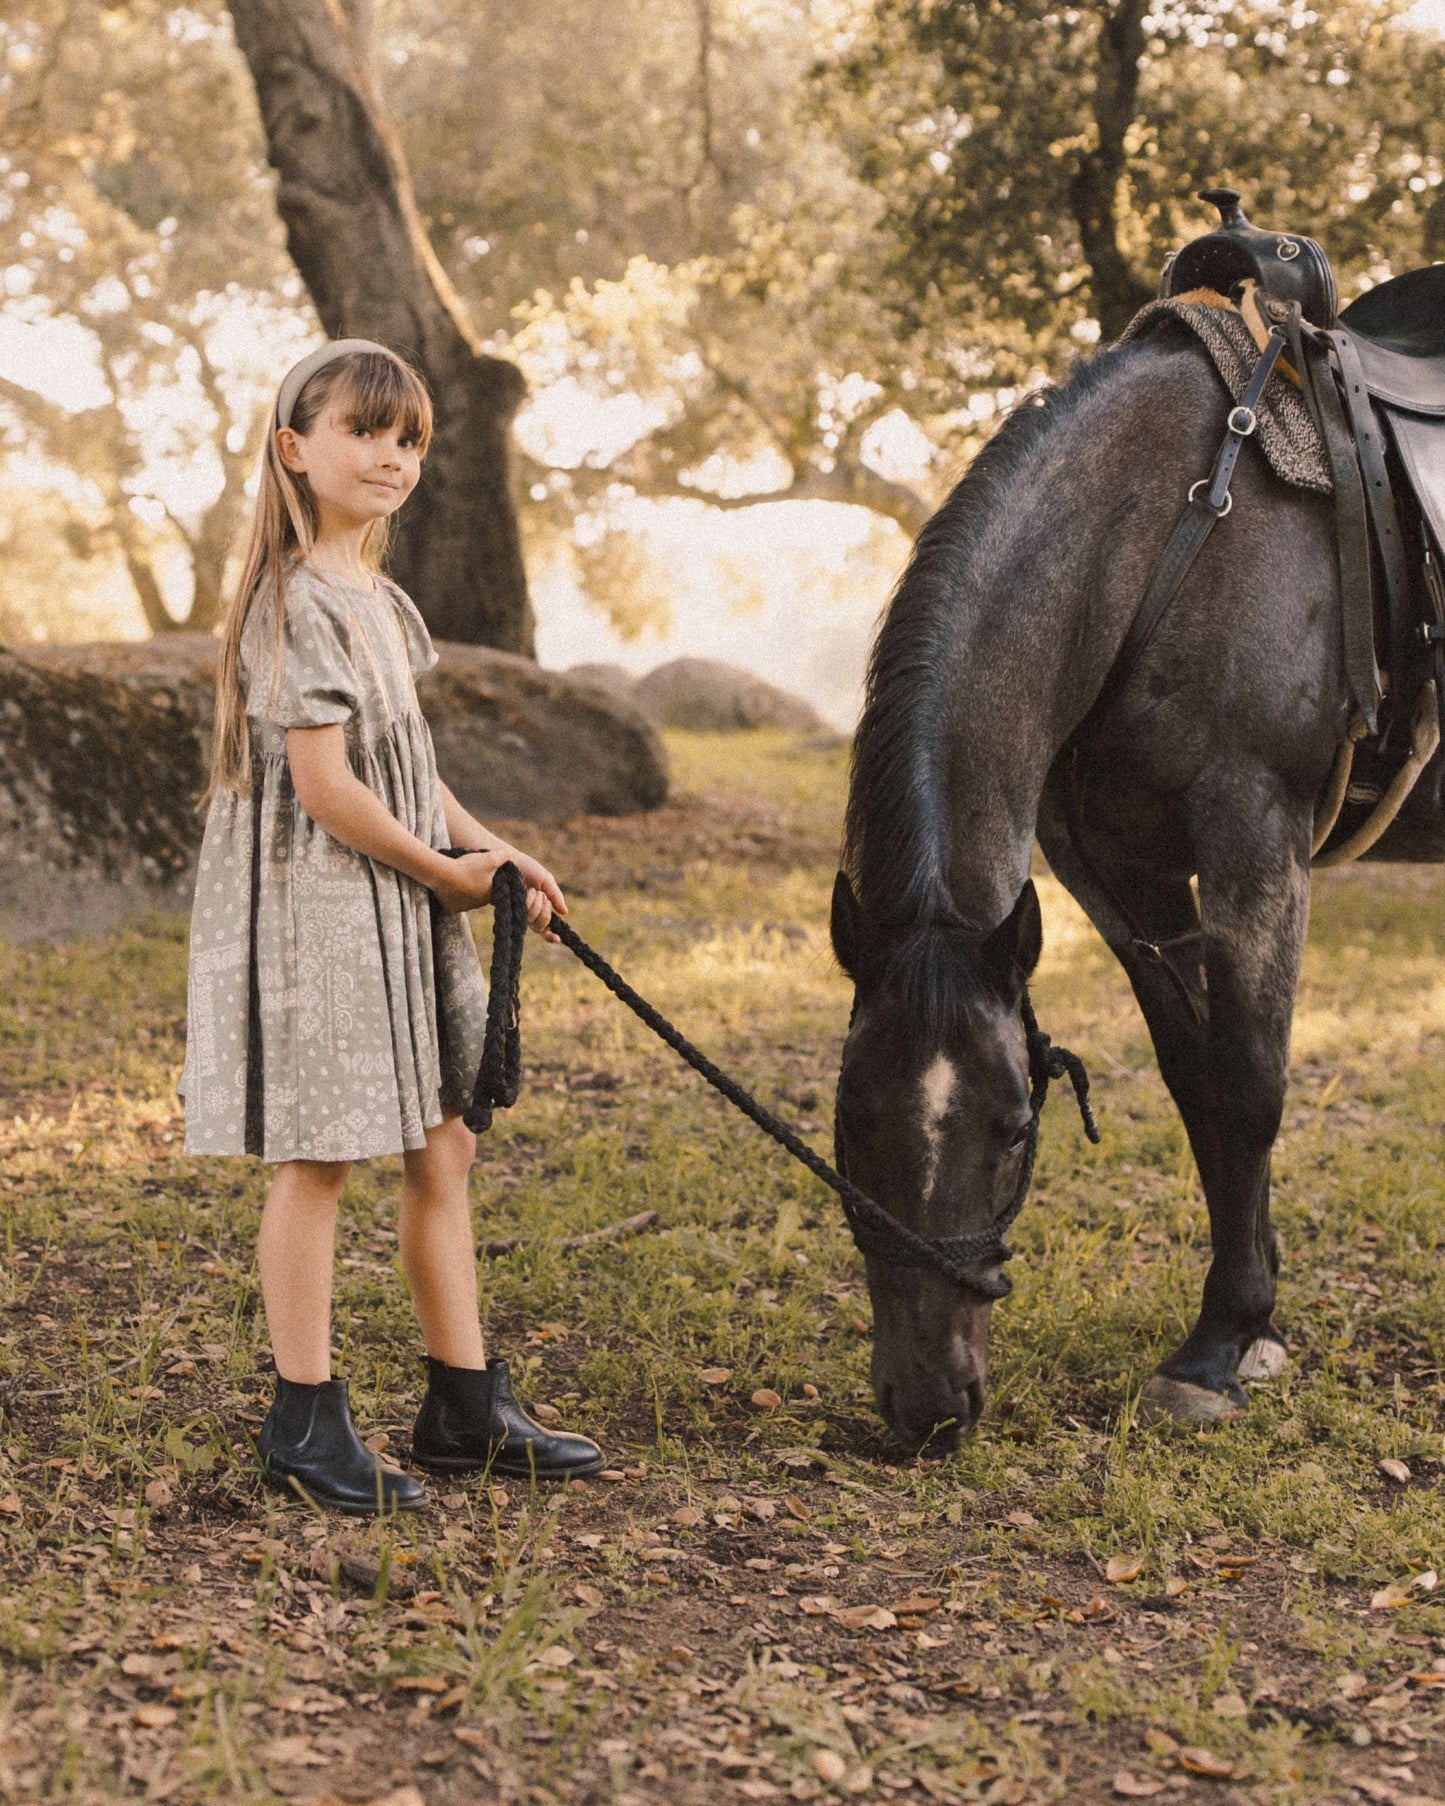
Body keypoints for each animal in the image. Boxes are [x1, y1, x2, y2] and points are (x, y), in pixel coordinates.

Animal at [823, 321, 1445, 1452]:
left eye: (1013, 1127)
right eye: (850, 1121)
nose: (928, 1407)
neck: (1167, 531)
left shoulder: (1253, 835)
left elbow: (1248, 1082)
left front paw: (1216, 1349)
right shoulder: (1116, 868)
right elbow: (1195, 1078)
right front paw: (1253, 1321)